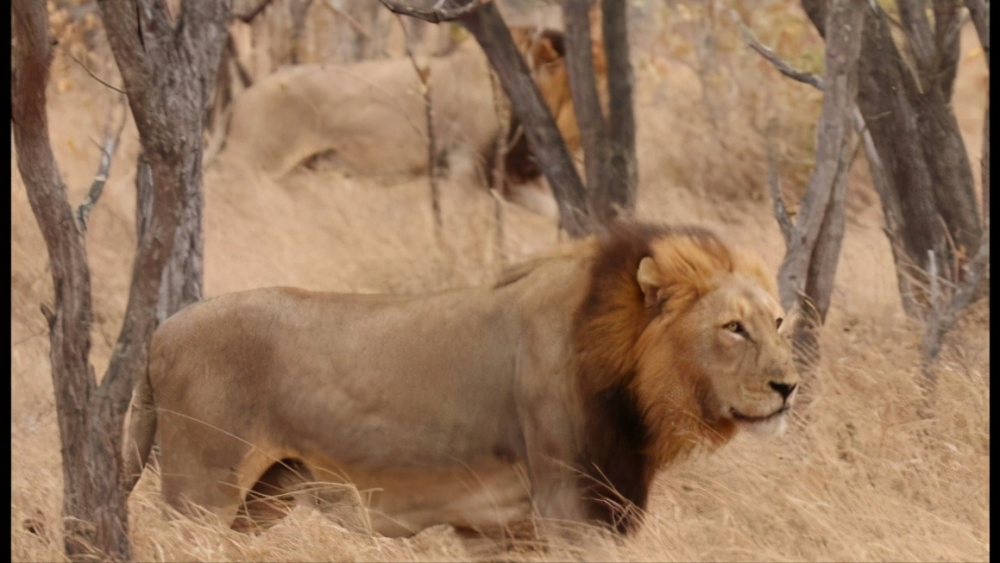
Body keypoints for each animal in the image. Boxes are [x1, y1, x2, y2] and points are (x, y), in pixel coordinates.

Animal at [123, 220, 796, 536]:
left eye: (779, 321)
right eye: (733, 328)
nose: (789, 387)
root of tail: (160, 331)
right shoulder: (569, 503)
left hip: (266, 495)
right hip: (201, 493)